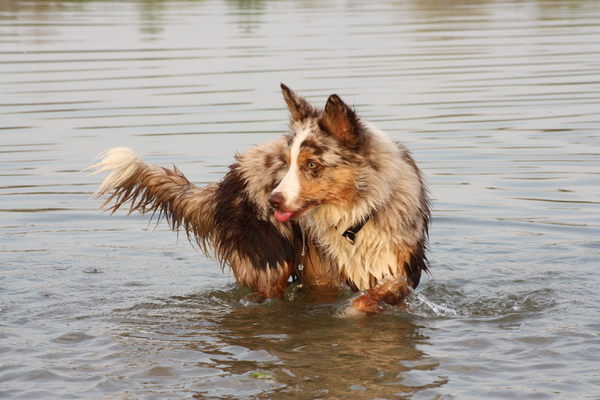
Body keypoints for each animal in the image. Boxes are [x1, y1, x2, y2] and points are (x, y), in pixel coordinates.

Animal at [86, 85, 428, 316]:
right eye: (286, 163)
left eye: (311, 165)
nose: (273, 201)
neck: (354, 217)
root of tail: (228, 178)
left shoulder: (397, 267)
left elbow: (380, 292)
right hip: (269, 258)